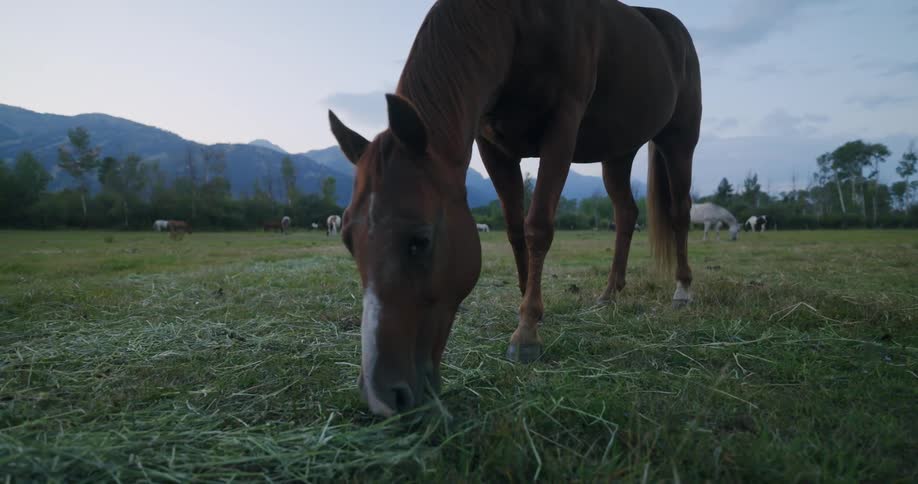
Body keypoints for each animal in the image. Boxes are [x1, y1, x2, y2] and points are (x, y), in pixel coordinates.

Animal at [329, 0, 701, 416]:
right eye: (348, 240)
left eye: (420, 240)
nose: (380, 395)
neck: (520, 21)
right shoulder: (494, 146)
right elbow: (514, 228)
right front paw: (531, 308)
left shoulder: (562, 128)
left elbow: (537, 227)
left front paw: (526, 334)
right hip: (618, 152)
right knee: (626, 214)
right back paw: (609, 293)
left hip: (679, 139)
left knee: (680, 211)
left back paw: (682, 289)